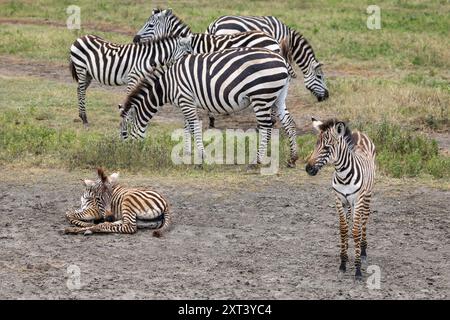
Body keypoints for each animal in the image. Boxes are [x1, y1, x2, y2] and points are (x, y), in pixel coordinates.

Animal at [306, 118, 376, 280]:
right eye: (316, 145)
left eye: (327, 147)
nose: (308, 169)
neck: (343, 176)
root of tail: (359, 133)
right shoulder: (339, 200)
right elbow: (343, 229)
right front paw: (343, 262)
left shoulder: (357, 201)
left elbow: (356, 231)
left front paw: (358, 269)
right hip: (349, 203)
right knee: (351, 220)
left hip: (366, 196)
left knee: (364, 220)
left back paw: (363, 251)